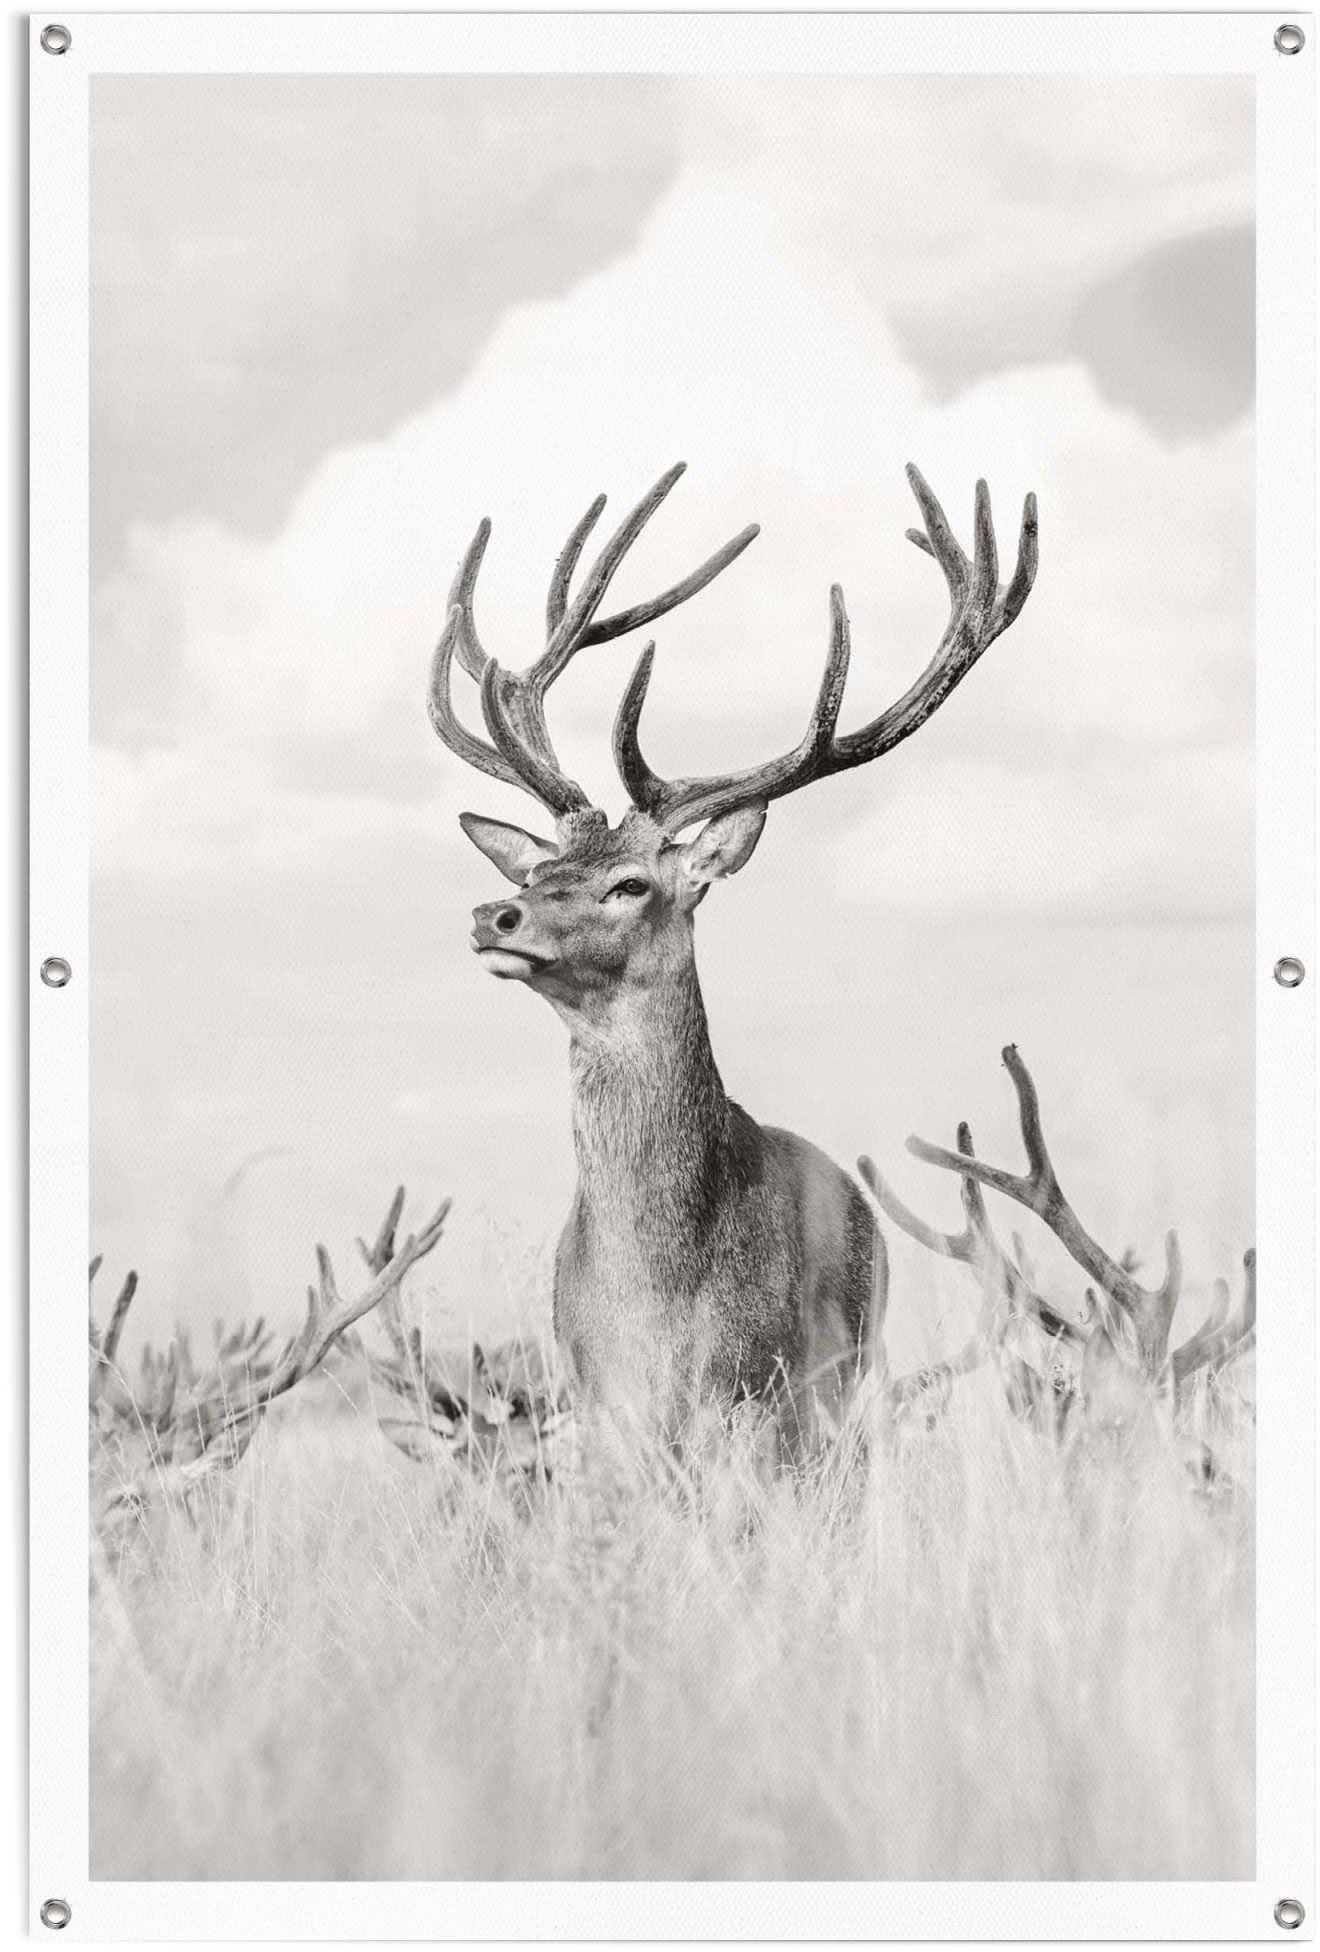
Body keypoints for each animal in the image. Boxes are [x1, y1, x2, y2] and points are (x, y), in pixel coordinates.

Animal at [425, 461, 1038, 1449]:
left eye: (631, 884)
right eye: (543, 868)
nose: (495, 913)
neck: (657, 1305)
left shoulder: (754, 1397)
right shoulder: (599, 1408)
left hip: (844, 1381)